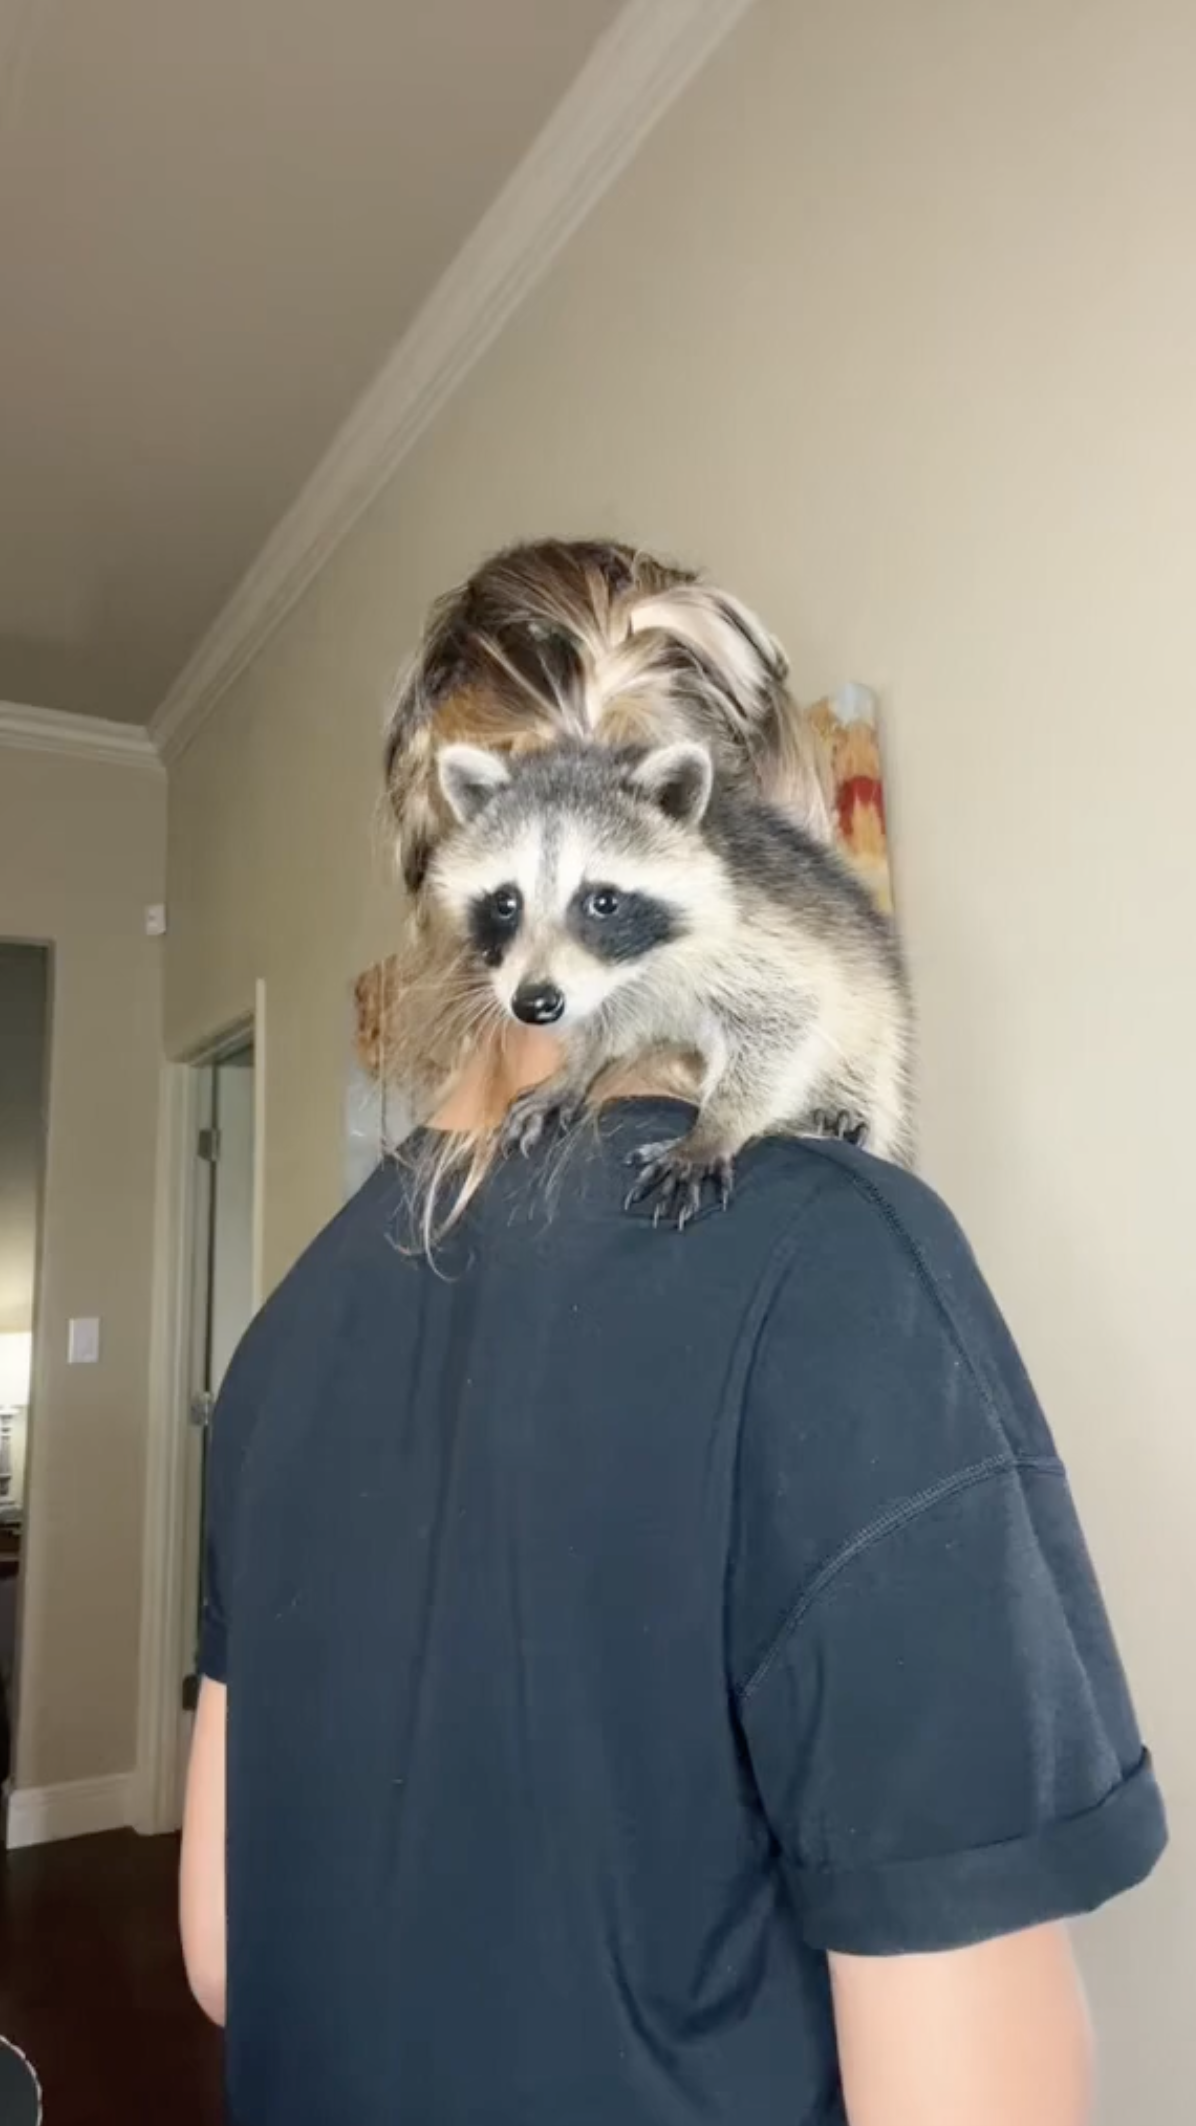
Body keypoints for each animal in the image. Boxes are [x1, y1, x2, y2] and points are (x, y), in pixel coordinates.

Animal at [428, 739, 915, 1224]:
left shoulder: (761, 943)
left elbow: (785, 1021)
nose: (535, 1004)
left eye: (603, 902)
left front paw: (718, 1124)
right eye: (505, 903)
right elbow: (602, 1021)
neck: (637, 963)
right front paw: (578, 1066)